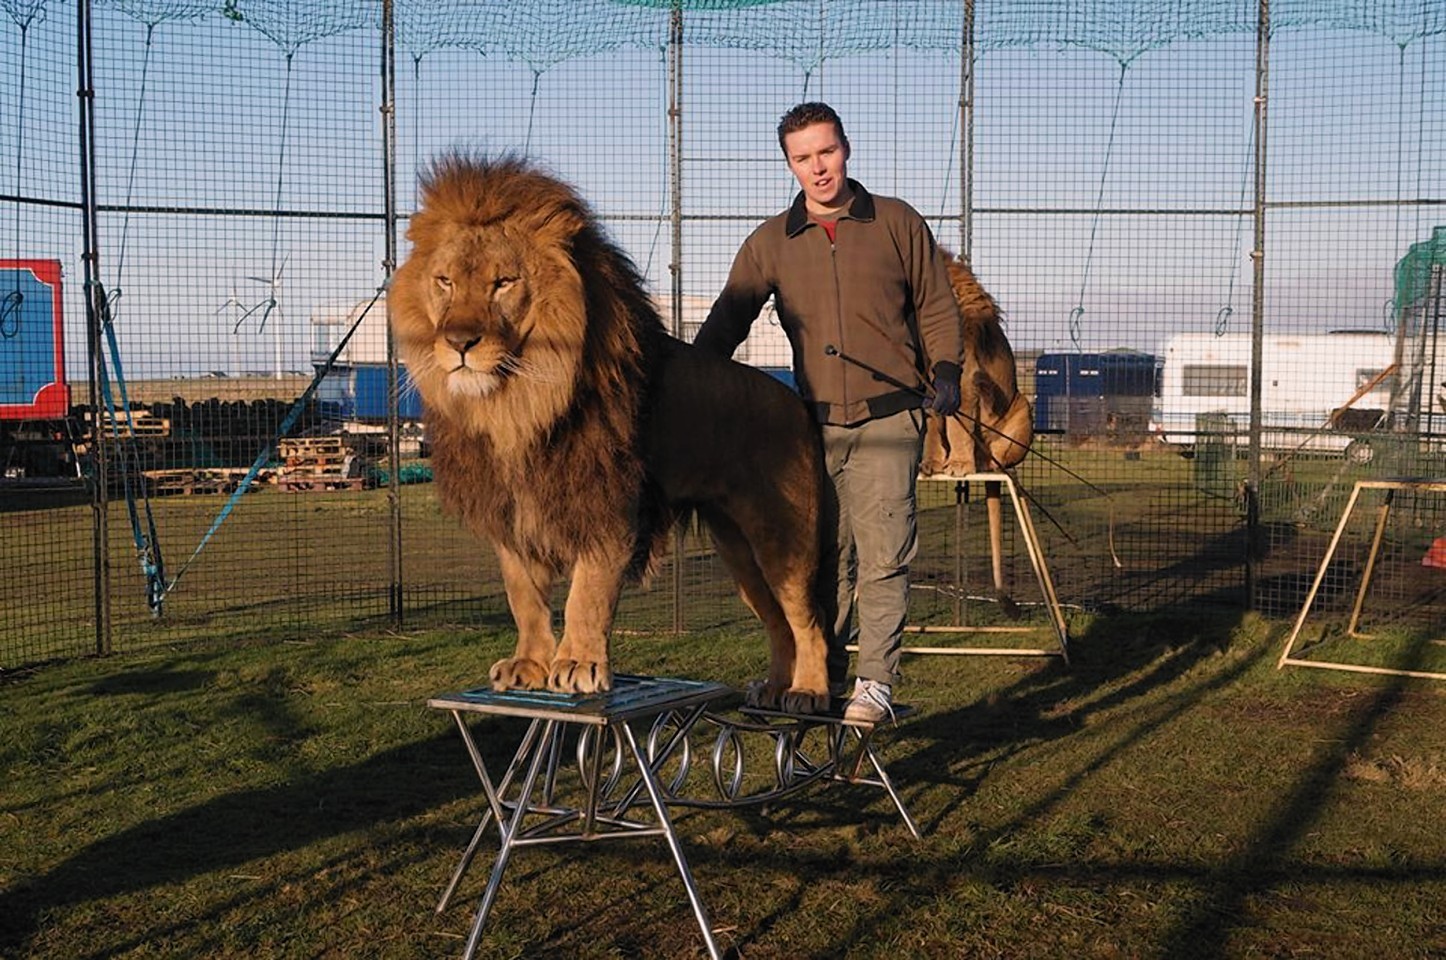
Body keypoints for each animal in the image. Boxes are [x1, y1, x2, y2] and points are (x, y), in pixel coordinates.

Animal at [390, 151, 832, 711]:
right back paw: (775, 687)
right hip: (737, 549)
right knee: (778, 623)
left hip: (781, 537)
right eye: (444, 281)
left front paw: (578, 663)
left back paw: (809, 691)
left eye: (503, 282)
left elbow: (589, 591)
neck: (516, 404)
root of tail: (795, 400)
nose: (459, 342)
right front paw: (530, 663)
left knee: (807, 620)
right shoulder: (512, 510)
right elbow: (522, 594)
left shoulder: (609, 500)